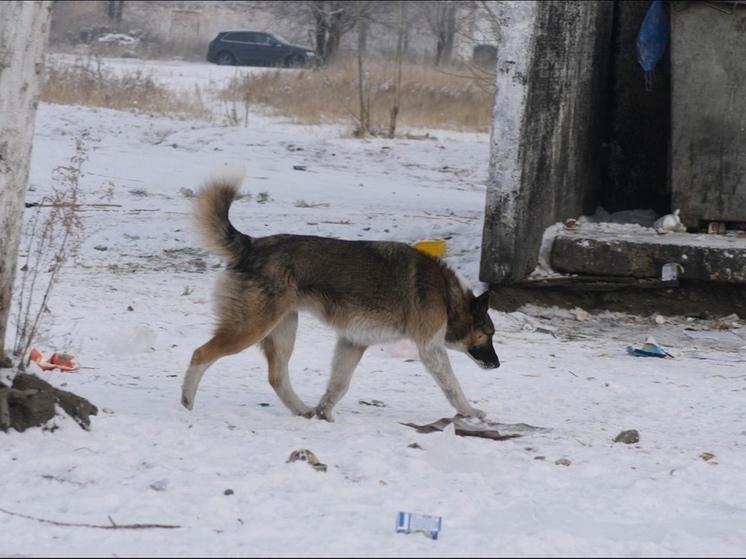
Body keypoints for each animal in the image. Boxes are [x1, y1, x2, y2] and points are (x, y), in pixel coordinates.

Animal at [179, 173, 500, 422]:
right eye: (488, 334)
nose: (498, 365)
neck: (446, 293)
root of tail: (252, 245)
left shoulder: (353, 342)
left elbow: (339, 385)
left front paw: (325, 412)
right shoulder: (430, 349)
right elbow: (453, 387)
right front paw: (471, 412)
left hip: (283, 331)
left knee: (277, 377)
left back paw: (302, 410)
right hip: (251, 327)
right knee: (201, 354)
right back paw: (187, 400)